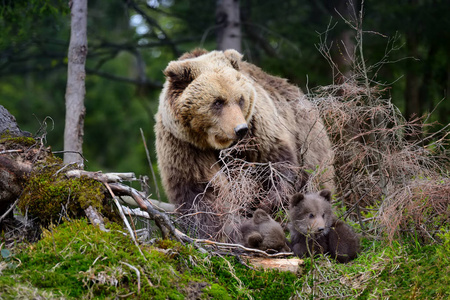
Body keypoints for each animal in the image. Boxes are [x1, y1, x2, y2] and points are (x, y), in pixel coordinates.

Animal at [155, 49, 334, 240]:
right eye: (218, 101)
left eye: (240, 99)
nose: (240, 129)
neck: (218, 144)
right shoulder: (185, 146)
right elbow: (200, 192)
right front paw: (214, 232)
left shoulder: (258, 132)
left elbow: (278, 165)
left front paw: (266, 205)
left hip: (309, 138)